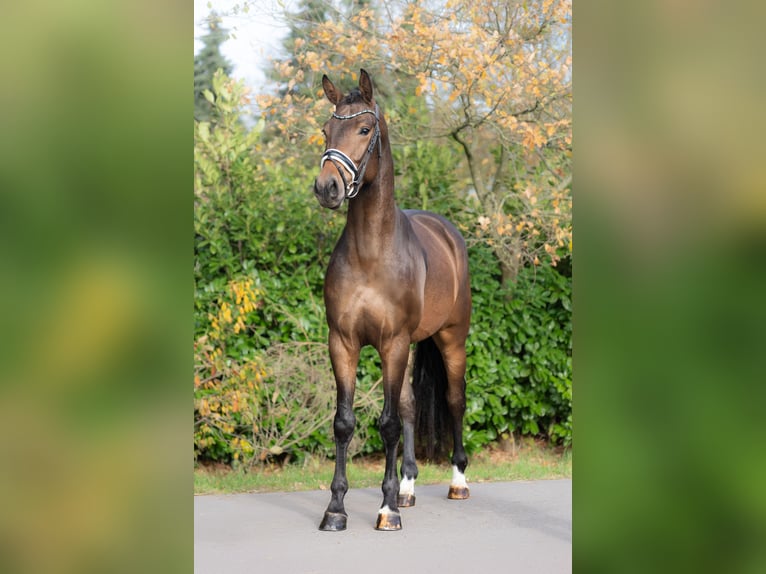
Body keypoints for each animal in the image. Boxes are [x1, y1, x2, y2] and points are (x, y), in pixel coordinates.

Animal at [313, 69, 472, 531]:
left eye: (364, 130)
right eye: (325, 130)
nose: (327, 187)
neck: (371, 253)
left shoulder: (392, 343)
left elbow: (386, 424)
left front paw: (386, 511)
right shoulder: (342, 343)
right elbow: (345, 422)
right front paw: (336, 509)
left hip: (451, 339)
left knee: (454, 400)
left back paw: (457, 482)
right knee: (410, 406)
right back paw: (407, 487)